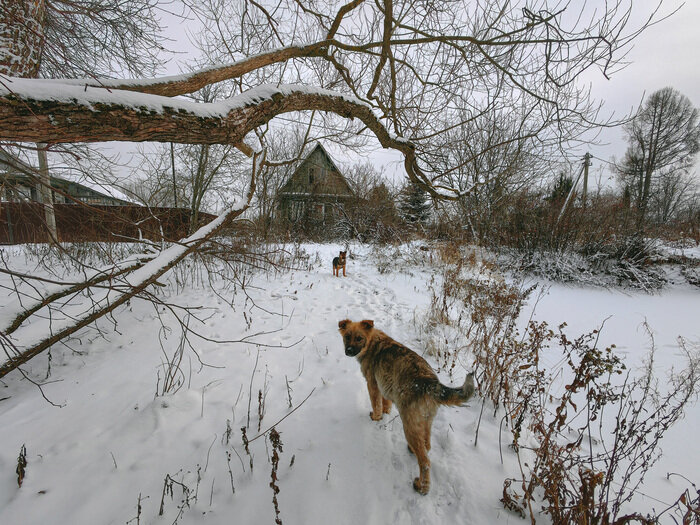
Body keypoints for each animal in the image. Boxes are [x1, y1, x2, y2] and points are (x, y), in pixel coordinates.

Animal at [336, 318, 474, 494]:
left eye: (359, 338)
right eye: (347, 336)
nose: (349, 351)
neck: (371, 342)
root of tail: (431, 384)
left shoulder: (373, 385)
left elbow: (376, 405)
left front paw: (376, 417)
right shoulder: (384, 385)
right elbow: (386, 403)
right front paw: (386, 412)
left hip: (409, 425)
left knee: (425, 462)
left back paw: (422, 487)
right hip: (425, 420)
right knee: (427, 445)